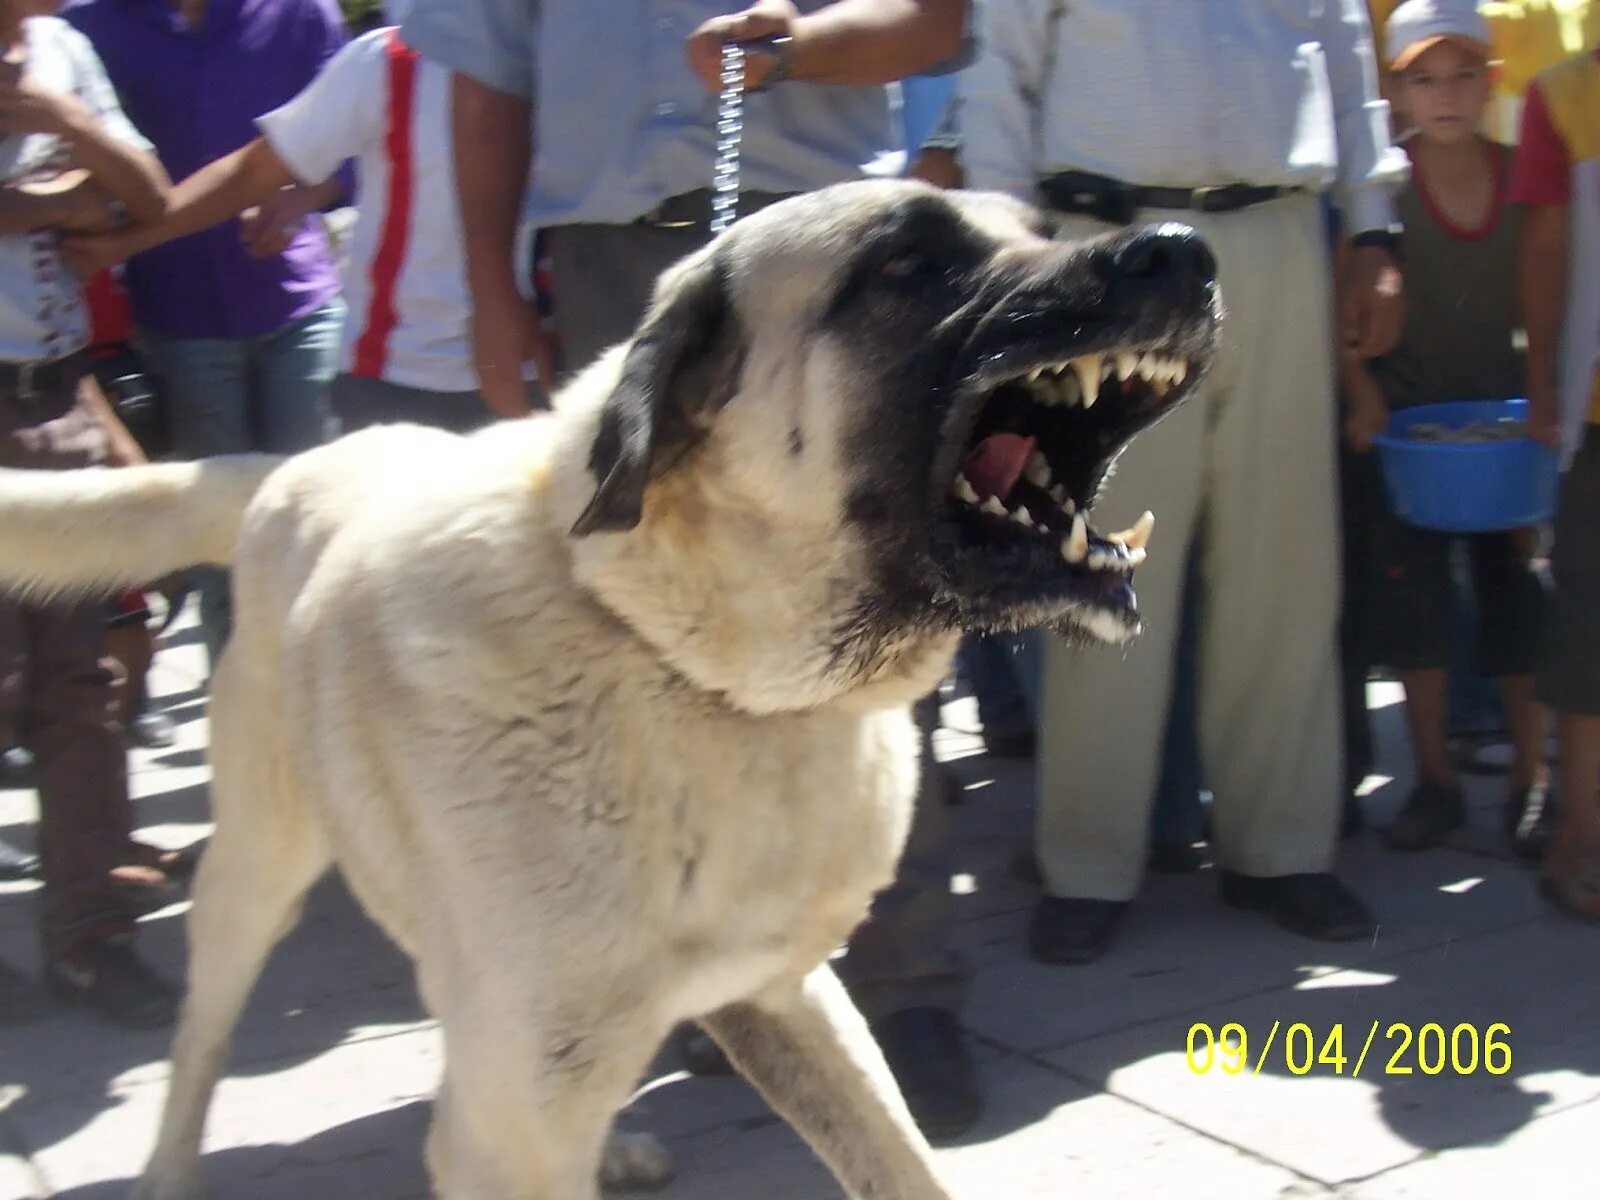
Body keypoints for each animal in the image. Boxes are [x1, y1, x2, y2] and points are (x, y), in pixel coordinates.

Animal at [0, 180, 1209, 1200]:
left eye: (1042, 227)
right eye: (906, 263)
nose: (1181, 251)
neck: (696, 669)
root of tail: (297, 462)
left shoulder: (780, 996)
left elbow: (899, 1161)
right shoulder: (521, 1124)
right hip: (258, 874)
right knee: (202, 1039)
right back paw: (169, 1170)